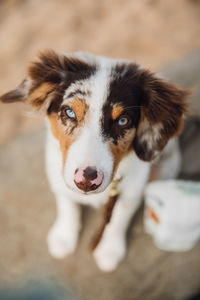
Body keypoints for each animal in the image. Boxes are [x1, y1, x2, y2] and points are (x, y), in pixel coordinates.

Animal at [0, 51, 188, 272]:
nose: (87, 180)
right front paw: (63, 238)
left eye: (123, 121)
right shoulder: (59, 177)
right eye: (69, 112)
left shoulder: (130, 192)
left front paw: (109, 251)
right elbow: (67, 206)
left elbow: (118, 219)